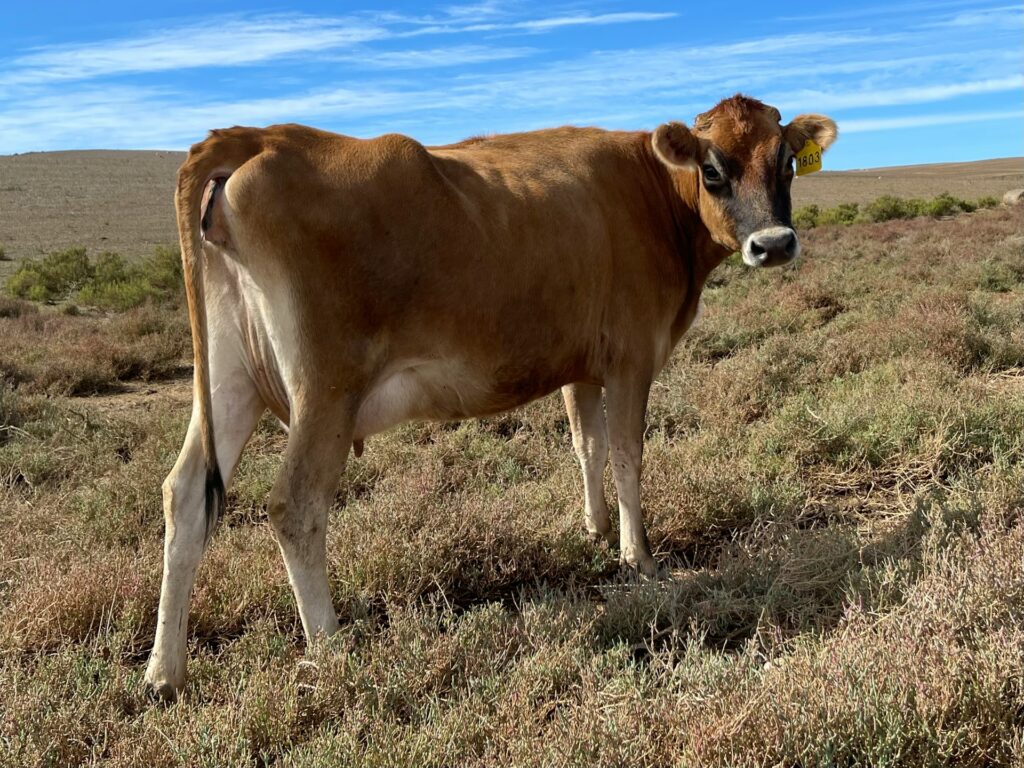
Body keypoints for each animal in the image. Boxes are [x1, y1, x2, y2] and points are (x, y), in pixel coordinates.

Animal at [142, 93, 831, 700]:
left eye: (786, 161)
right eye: (713, 168)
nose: (774, 244)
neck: (651, 191)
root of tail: (264, 136)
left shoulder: (582, 363)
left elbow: (589, 446)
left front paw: (596, 531)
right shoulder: (632, 357)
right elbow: (628, 455)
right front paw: (640, 558)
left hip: (230, 381)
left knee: (186, 495)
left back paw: (163, 673)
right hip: (326, 390)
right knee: (295, 504)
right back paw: (334, 652)